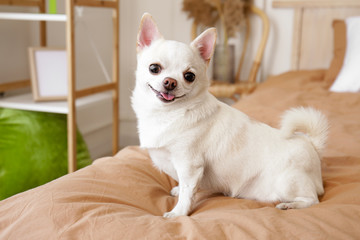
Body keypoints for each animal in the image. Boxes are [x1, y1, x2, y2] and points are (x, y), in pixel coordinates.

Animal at [132, 12, 330, 218]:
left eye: (189, 76)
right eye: (154, 68)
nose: (170, 82)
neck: (167, 114)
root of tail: (312, 145)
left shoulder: (190, 165)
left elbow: (188, 191)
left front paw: (178, 212)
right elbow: (185, 186)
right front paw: (178, 191)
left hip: (287, 183)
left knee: (313, 200)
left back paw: (290, 205)